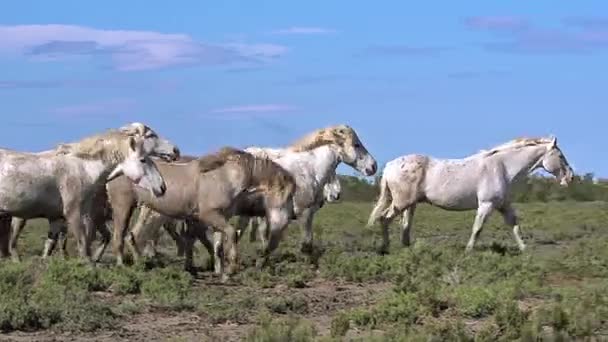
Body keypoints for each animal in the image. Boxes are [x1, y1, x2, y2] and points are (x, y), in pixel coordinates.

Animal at [0, 123, 180, 262]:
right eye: (143, 160)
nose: (162, 187)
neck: (82, 169)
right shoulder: (75, 214)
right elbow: (83, 245)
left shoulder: (60, 217)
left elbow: (53, 245)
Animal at [104, 147, 296, 280]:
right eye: (289, 195)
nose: (292, 216)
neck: (227, 176)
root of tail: (117, 170)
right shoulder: (208, 216)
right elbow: (231, 234)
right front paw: (230, 270)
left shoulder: (219, 218)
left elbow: (217, 245)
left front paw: (219, 272)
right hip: (123, 207)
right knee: (119, 236)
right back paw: (122, 266)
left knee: (131, 236)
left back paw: (140, 265)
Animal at [368, 137, 572, 254]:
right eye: (561, 156)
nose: (569, 177)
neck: (503, 168)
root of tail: (390, 166)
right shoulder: (486, 205)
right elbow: (477, 228)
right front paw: (468, 251)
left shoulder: (503, 205)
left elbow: (515, 226)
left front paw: (525, 250)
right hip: (401, 202)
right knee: (384, 219)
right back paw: (385, 248)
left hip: (410, 204)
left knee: (402, 225)